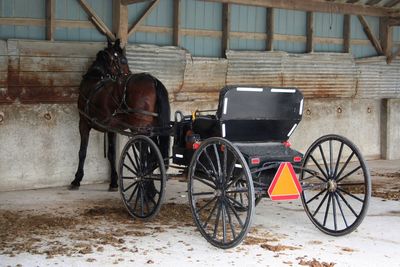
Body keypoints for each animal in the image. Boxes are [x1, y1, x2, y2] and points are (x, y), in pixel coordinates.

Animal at [70, 38, 170, 192]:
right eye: (123, 60)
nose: (129, 73)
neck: (94, 81)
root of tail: (152, 80)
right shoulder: (111, 128)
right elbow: (111, 154)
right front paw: (113, 182)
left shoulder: (84, 123)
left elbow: (82, 152)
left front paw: (77, 179)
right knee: (153, 156)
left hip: (138, 130)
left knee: (146, 156)